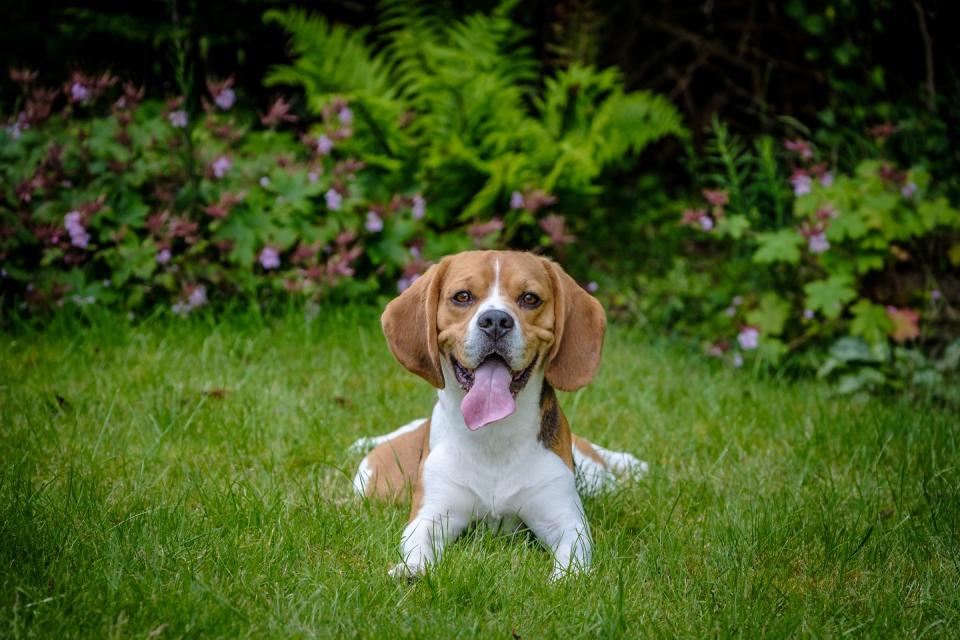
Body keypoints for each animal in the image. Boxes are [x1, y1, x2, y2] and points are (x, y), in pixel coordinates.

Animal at [350, 251, 644, 580]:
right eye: (462, 296)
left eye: (529, 298)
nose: (495, 321)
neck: (494, 434)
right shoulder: (432, 514)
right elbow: (419, 540)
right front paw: (411, 568)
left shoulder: (565, 519)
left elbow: (573, 557)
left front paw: (565, 579)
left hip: (596, 479)